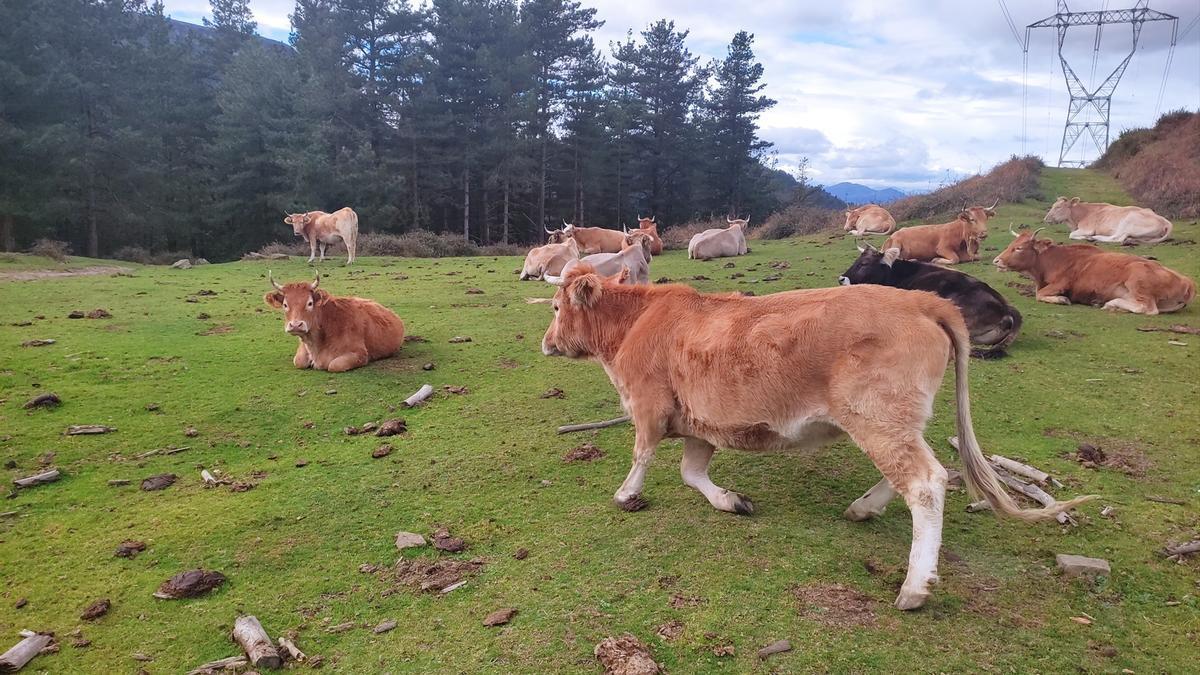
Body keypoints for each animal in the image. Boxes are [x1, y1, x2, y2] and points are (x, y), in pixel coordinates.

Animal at [263, 272, 405, 372]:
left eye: (310, 303)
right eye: (285, 305)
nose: (296, 325)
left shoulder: (360, 354)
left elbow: (334, 365)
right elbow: (298, 361)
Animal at [539, 265, 1092, 610]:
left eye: (556, 307)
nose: (546, 343)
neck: (634, 325)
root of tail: (922, 300)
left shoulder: (649, 406)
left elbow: (643, 455)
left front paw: (626, 495)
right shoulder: (703, 423)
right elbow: (691, 472)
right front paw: (731, 500)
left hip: (877, 417)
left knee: (926, 481)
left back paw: (915, 586)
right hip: (897, 419)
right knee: (927, 470)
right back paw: (864, 508)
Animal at [993, 227, 1195, 315]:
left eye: (1019, 248)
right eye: (1011, 244)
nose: (996, 261)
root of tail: (1187, 282)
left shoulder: (1061, 283)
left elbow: (1040, 294)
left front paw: (1061, 299)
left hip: (1137, 277)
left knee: (1147, 308)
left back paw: (1111, 304)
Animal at [1043, 196, 1173, 244]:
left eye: (1058, 207)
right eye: (1053, 205)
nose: (1045, 219)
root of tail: (1165, 221)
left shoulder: (1087, 228)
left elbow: (1071, 235)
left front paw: (1087, 237)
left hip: (1127, 221)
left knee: (1117, 238)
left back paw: (1093, 238)